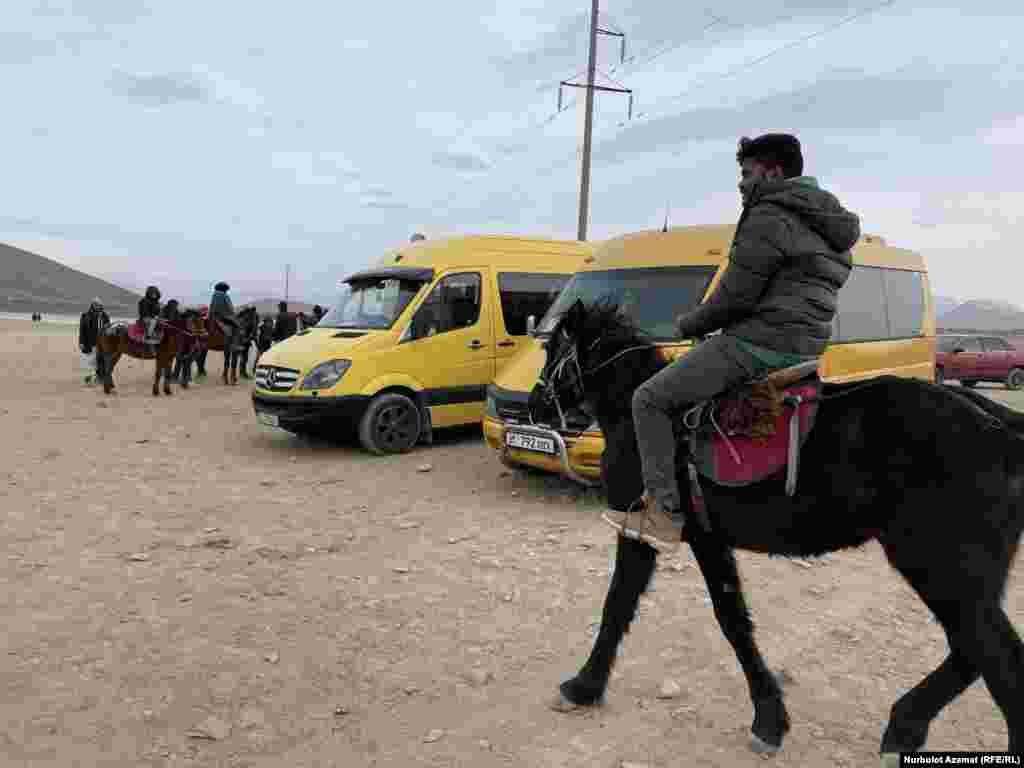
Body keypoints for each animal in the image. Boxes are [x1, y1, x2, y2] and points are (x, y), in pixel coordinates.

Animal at [528, 301, 1024, 765]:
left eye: (553, 350)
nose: (532, 404)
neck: (634, 410)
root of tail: (1001, 426)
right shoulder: (673, 536)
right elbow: (647, 608)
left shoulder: (670, 535)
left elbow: (704, 618)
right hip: (962, 572)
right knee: (972, 651)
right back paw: (905, 727)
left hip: (938, 564)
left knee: (996, 656)